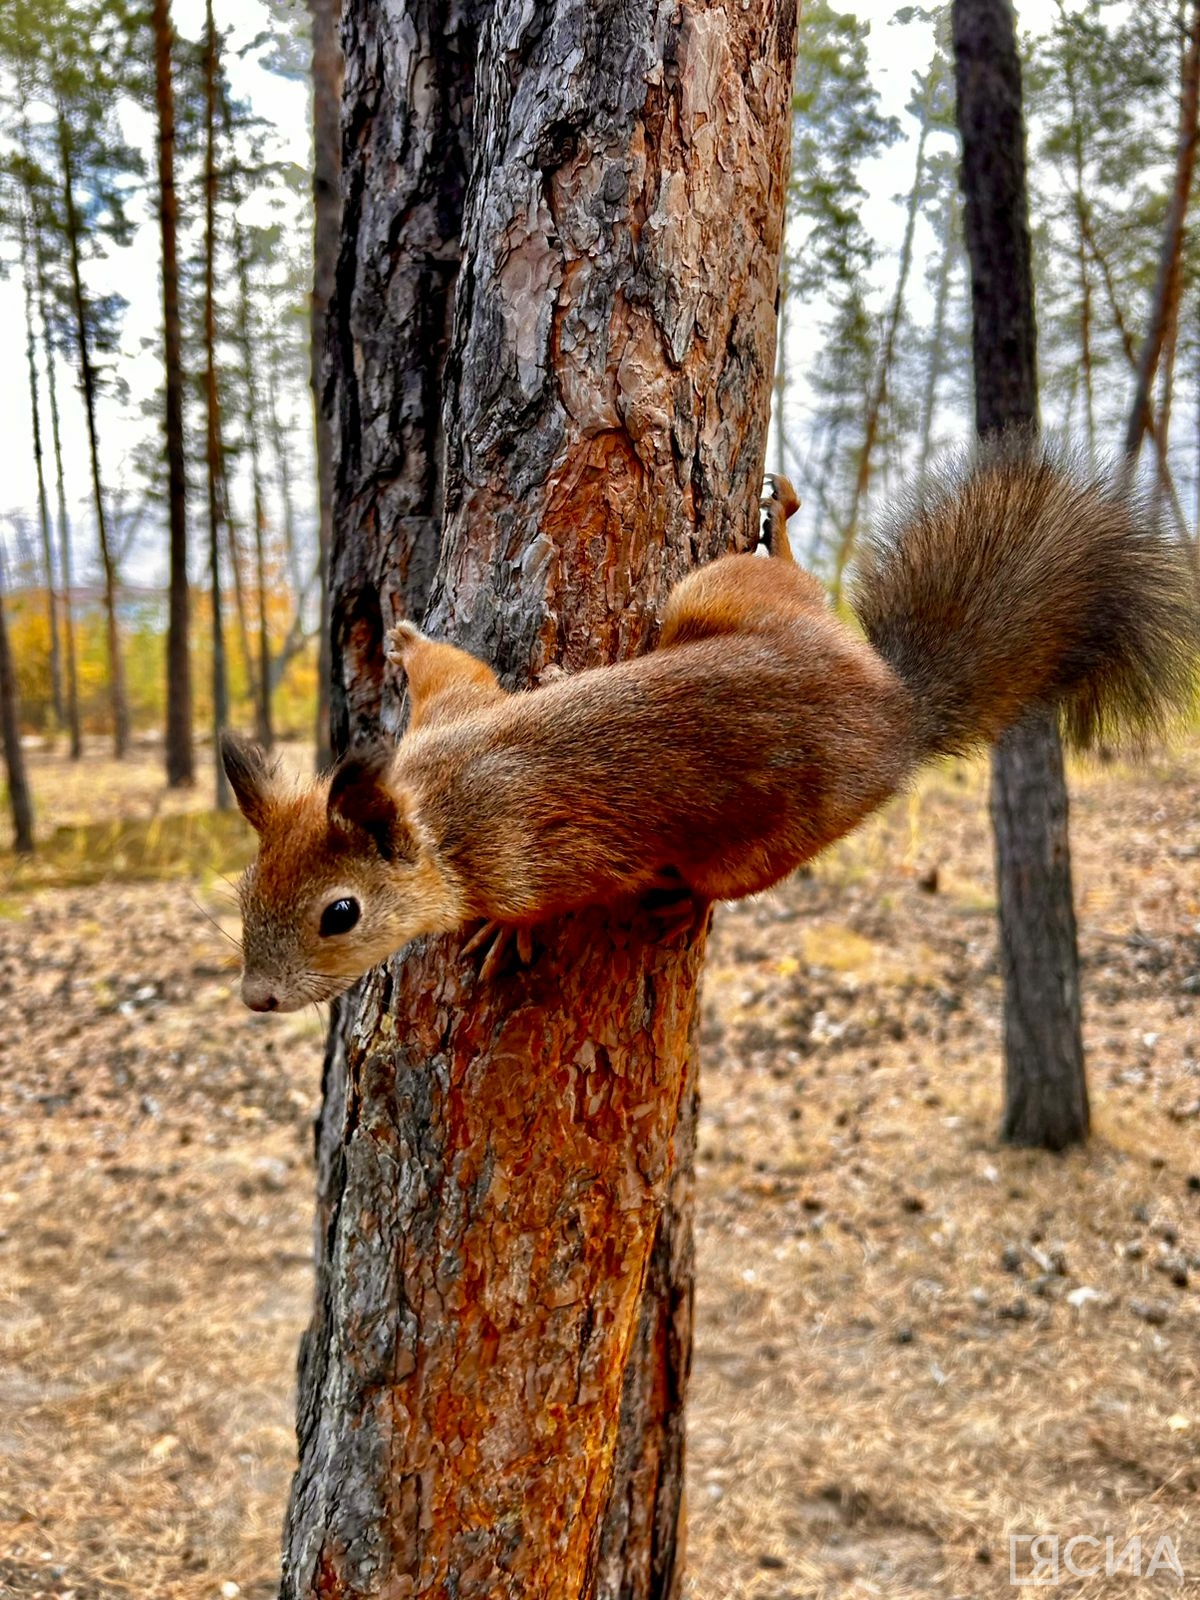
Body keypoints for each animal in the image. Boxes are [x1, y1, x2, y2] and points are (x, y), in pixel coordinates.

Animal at [225, 441, 1200, 1011]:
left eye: (341, 914)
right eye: (245, 887)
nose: (257, 998)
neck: (437, 796)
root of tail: (895, 706)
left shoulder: (536, 852)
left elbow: (553, 897)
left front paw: (509, 936)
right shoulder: (456, 709)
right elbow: (460, 668)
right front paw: (408, 637)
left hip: (768, 833)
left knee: (727, 878)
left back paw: (676, 899)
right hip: (724, 597)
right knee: (780, 581)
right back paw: (785, 530)